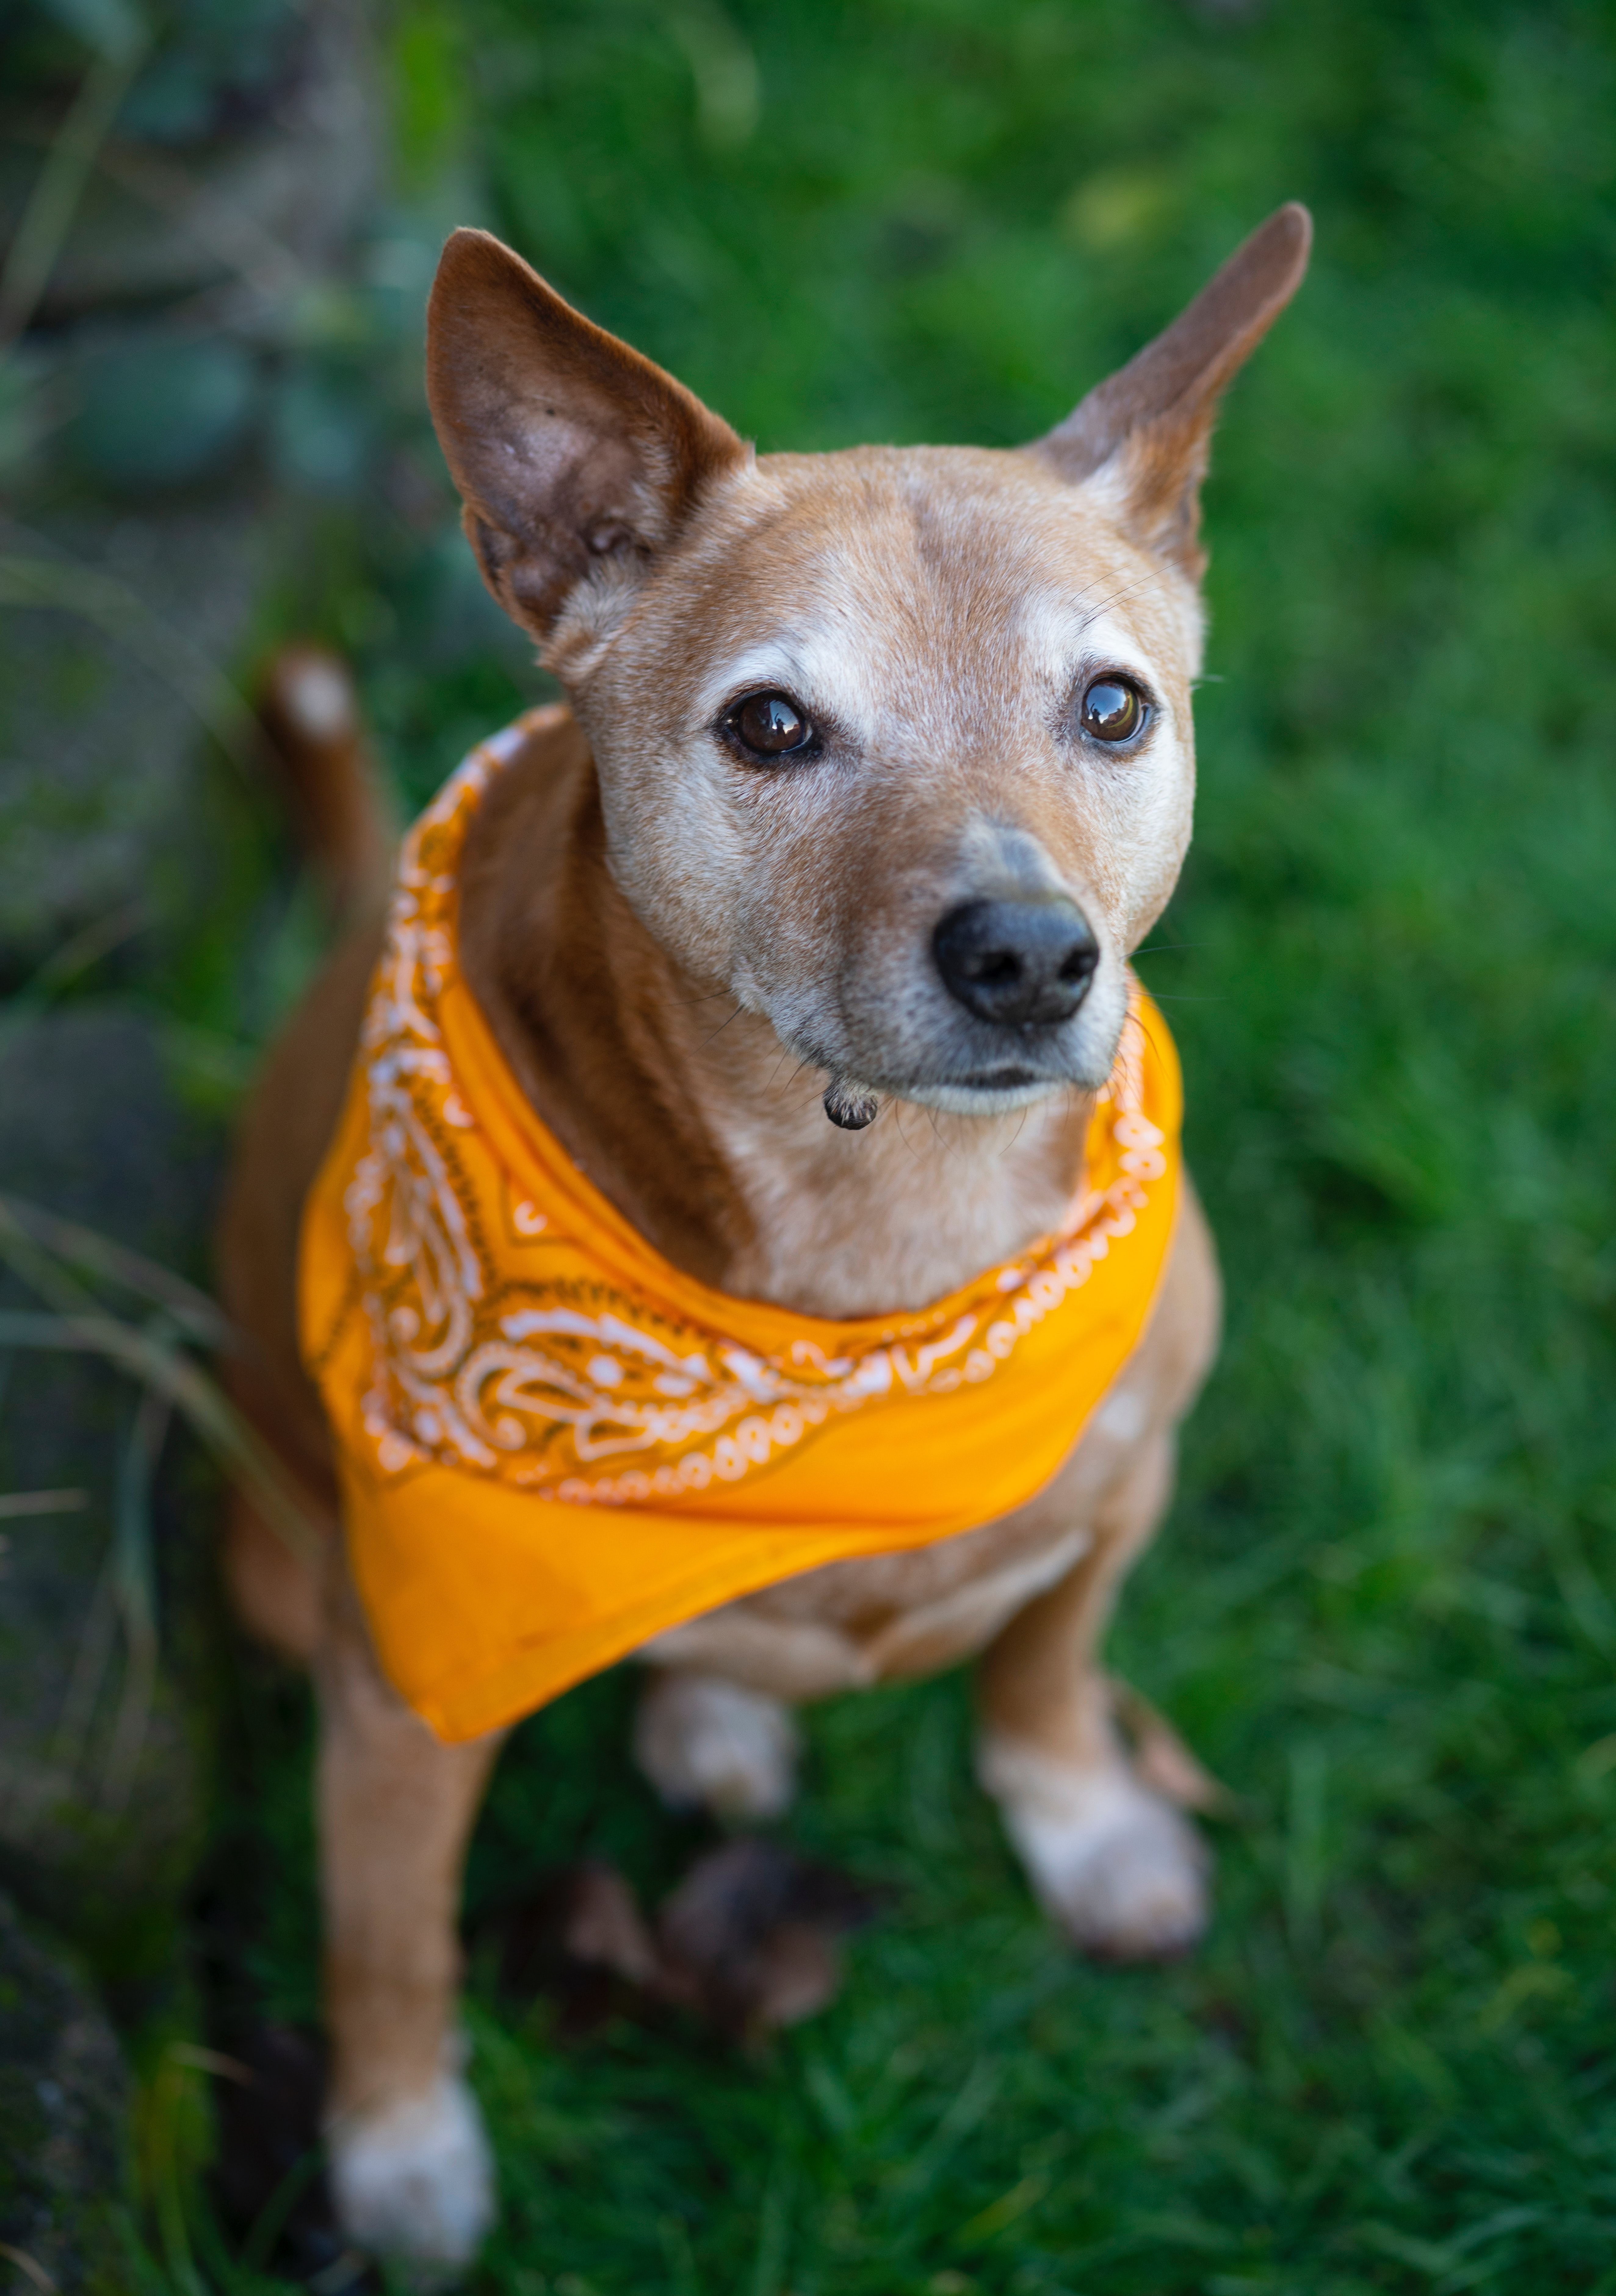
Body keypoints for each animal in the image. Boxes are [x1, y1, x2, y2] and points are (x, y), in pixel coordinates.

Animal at [215, 202, 1313, 2277]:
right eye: (772, 727)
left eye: (1110, 707)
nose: (1027, 957)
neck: (891, 1245)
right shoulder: (395, 1690)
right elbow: (384, 1940)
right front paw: (397, 2159)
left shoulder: (1126, 1480)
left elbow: (1046, 1662)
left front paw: (1085, 1828)